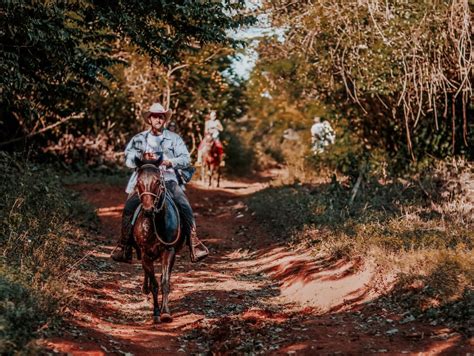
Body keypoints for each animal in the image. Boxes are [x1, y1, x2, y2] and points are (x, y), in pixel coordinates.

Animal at [135, 157, 185, 324]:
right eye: (138, 181)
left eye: (157, 181)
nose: (148, 210)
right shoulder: (145, 253)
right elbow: (154, 284)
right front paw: (156, 312)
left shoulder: (168, 251)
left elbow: (164, 282)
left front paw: (165, 312)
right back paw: (144, 288)